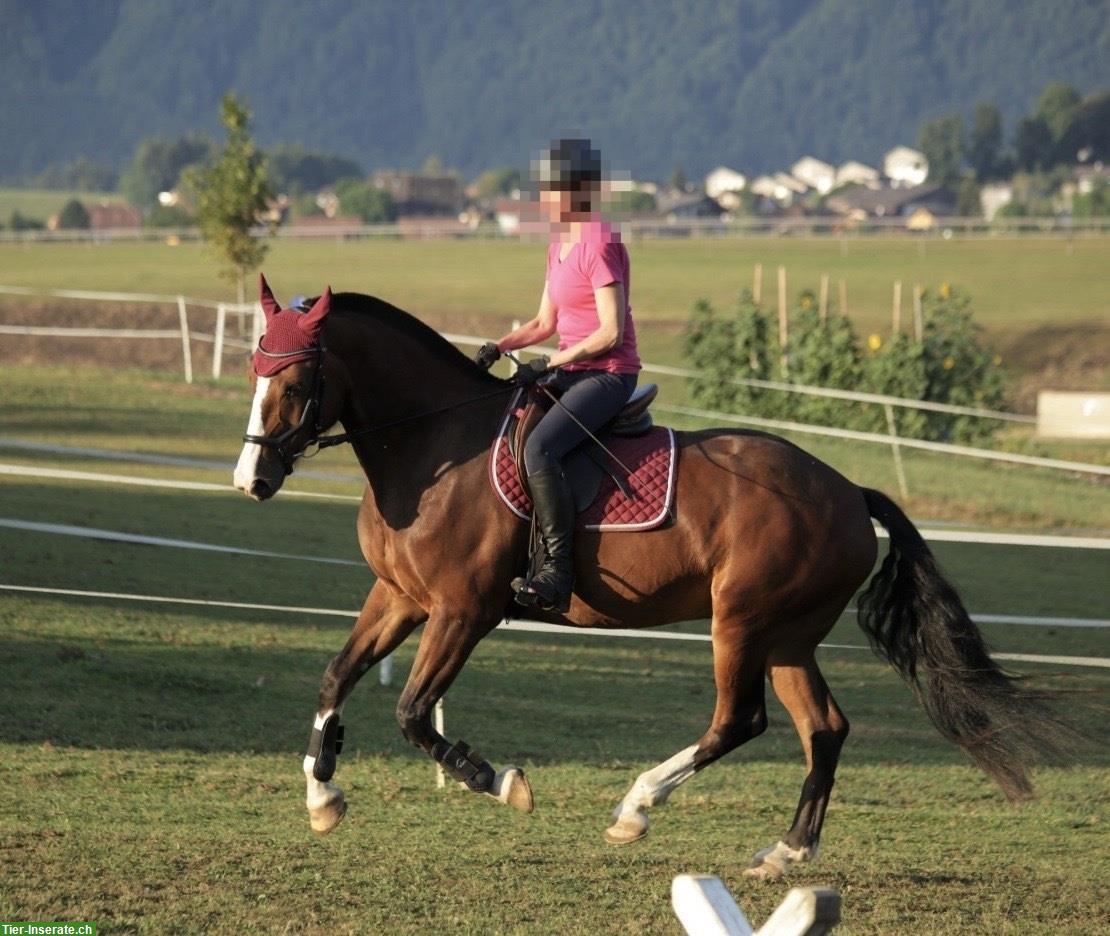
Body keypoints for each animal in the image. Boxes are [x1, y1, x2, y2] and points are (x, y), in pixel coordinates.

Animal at [234, 278, 1065, 879]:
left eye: (296, 380)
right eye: (253, 371)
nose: (252, 479)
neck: (437, 445)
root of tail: (847, 492)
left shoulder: (462, 610)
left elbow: (412, 713)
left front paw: (499, 780)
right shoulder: (400, 598)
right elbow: (336, 676)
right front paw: (322, 793)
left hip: (741, 621)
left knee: (741, 721)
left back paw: (635, 809)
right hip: (788, 636)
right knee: (823, 729)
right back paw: (785, 852)